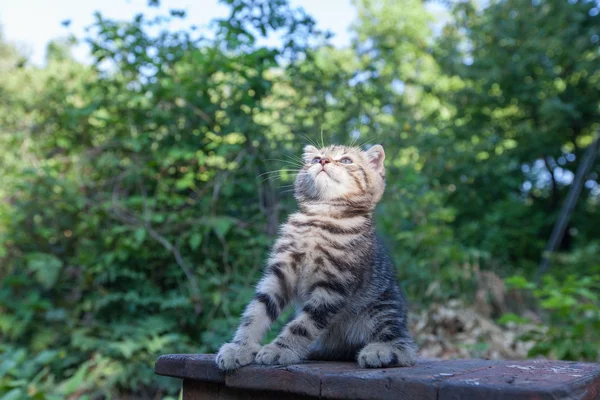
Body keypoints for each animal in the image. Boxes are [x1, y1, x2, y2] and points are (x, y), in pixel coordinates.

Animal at [216, 143, 418, 368]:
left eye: (346, 160)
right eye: (315, 159)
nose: (323, 161)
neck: (321, 217)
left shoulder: (333, 287)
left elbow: (304, 325)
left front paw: (280, 348)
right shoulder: (279, 274)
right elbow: (256, 311)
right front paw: (240, 347)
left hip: (383, 307)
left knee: (404, 346)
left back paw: (382, 350)